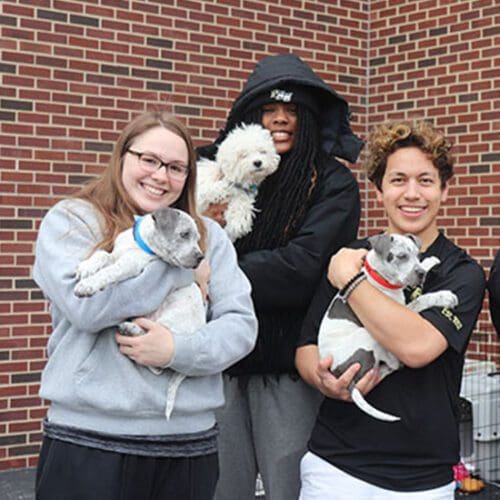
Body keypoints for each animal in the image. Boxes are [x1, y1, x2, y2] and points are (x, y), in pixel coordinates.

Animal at [73, 205, 206, 420]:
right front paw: (86, 267)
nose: (200, 258)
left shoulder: (130, 265)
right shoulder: (116, 255)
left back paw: (131, 329)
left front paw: (88, 285)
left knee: (158, 362)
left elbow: (110, 272)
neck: (140, 245)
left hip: (170, 324)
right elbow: (103, 254)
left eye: (197, 237)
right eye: (185, 234)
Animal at [318, 233, 458, 422]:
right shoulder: (402, 312)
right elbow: (422, 299)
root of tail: (338, 372)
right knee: (391, 362)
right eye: (401, 256)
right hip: (367, 334)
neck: (378, 276)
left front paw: (429, 262)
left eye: (417, 255)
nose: (420, 274)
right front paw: (444, 297)